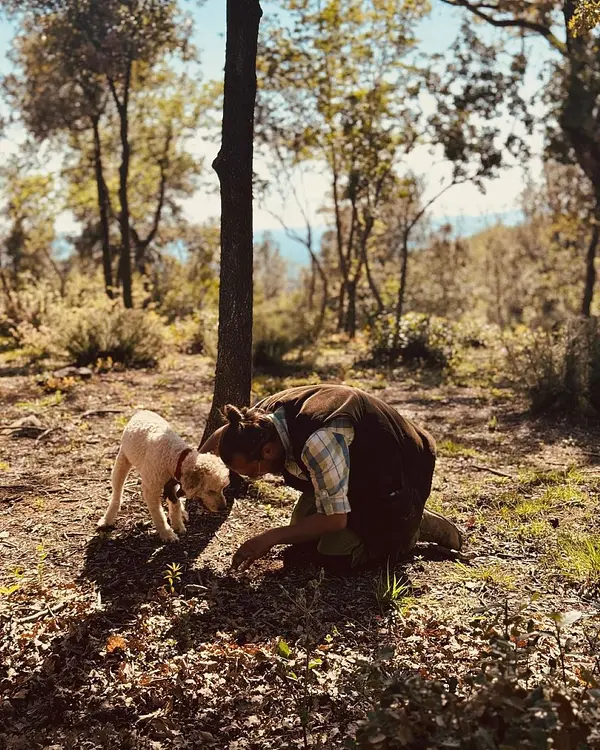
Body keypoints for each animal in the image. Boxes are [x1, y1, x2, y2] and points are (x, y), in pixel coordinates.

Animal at [98, 408, 230, 544]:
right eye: (210, 490)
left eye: (222, 488)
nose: (223, 507)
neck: (175, 456)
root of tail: (142, 411)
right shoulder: (151, 489)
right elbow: (159, 514)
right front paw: (167, 534)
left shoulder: (172, 484)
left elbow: (175, 504)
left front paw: (178, 525)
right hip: (122, 461)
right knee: (117, 494)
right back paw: (107, 519)